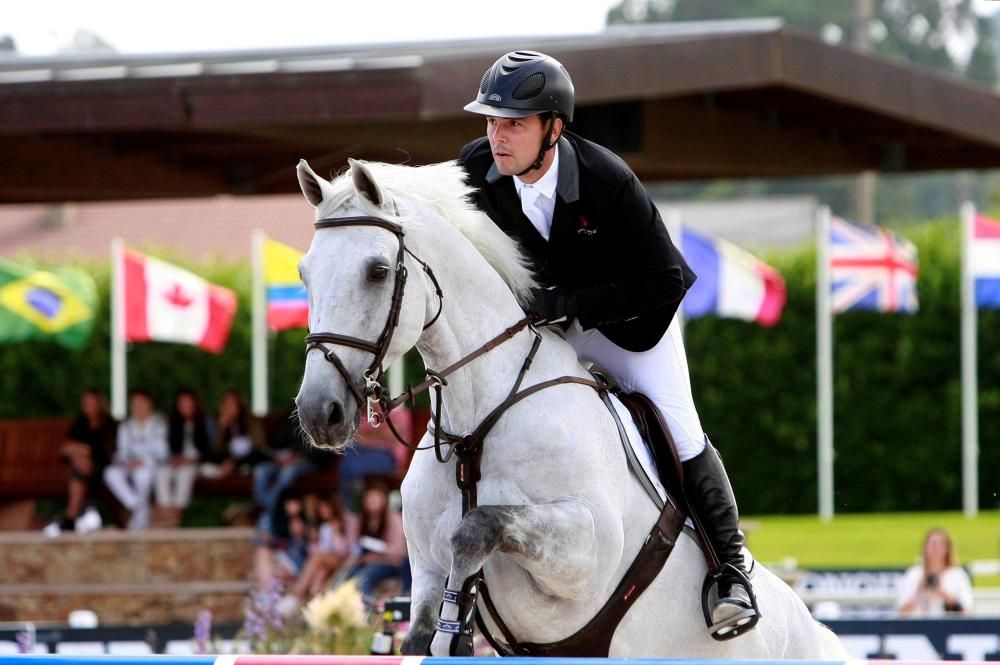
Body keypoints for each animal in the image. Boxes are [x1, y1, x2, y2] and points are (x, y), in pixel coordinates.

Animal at [292, 157, 844, 660]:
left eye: (378, 271)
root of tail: (816, 630)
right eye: (304, 274)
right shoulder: (426, 565)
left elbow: (477, 528)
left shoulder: (585, 551)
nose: (320, 412)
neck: (477, 425)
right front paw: (449, 629)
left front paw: (460, 626)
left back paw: (734, 598)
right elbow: (425, 621)